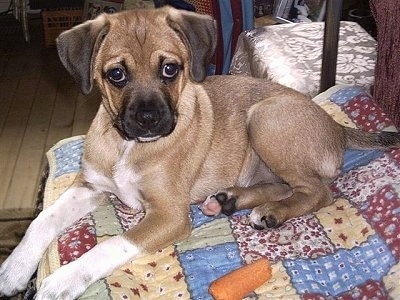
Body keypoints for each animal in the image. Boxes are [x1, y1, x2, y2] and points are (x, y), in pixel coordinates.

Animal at [0, 5, 400, 298]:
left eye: (170, 69)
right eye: (116, 75)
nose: (149, 120)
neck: (128, 146)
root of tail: (336, 126)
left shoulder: (169, 215)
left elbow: (111, 245)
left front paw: (63, 280)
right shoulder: (90, 186)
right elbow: (42, 220)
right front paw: (14, 269)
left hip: (265, 118)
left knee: (319, 191)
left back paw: (272, 212)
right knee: (285, 186)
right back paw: (230, 201)